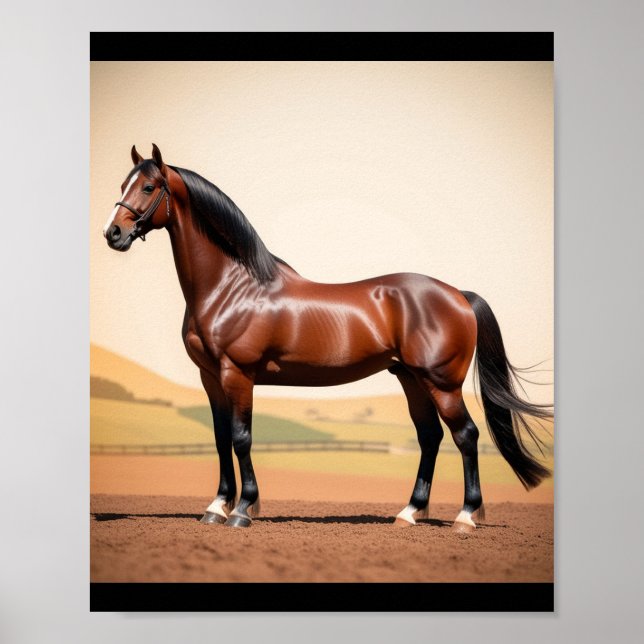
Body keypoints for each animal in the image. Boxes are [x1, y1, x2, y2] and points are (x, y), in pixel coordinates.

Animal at [103, 144, 552, 530]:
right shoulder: (211, 377)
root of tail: (459, 294)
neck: (232, 286)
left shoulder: (238, 374)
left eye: (148, 187)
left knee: (466, 436)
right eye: (122, 184)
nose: (113, 234)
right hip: (411, 379)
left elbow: (242, 438)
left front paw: (243, 509)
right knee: (430, 437)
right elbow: (219, 439)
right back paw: (409, 512)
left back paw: (465, 517)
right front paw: (216, 506)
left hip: (442, 383)